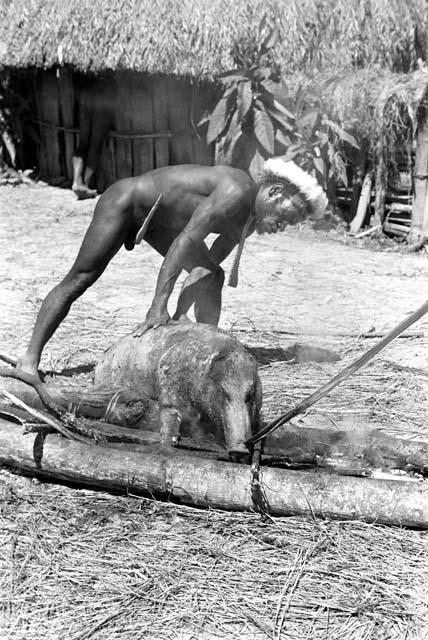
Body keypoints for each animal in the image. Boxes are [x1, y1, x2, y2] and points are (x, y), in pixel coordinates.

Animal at [93, 324, 260, 460]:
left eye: (249, 395)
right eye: (222, 391)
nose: (240, 450)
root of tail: (100, 362)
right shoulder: (169, 377)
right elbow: (170, 412)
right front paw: (169, 445)